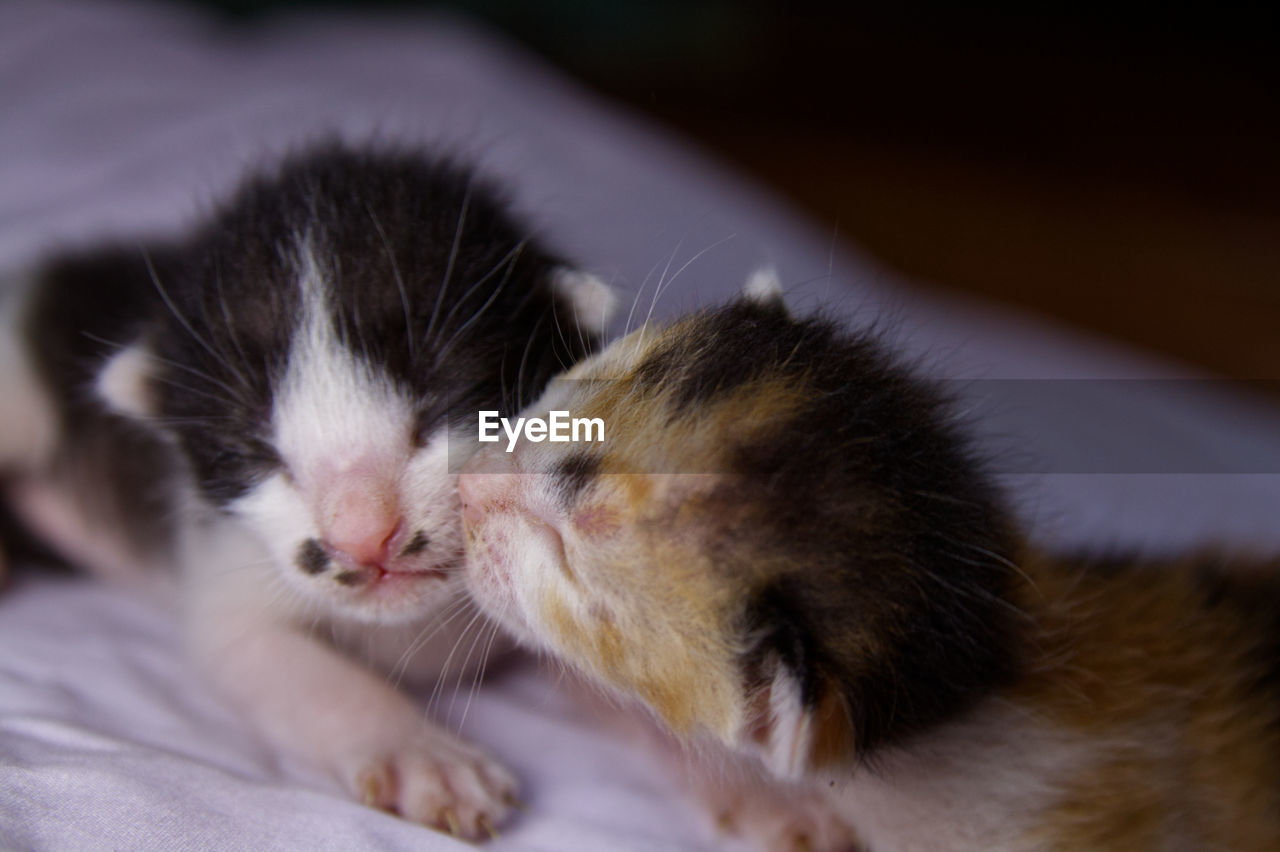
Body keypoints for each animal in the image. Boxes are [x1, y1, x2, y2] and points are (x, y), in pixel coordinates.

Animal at [0, 140, 614, 834]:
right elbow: (289, 668)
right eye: (257, 455)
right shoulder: (226, 566)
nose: (363, 537)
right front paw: (420, 754)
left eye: (442, 410)